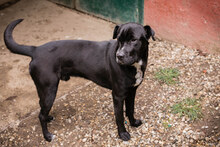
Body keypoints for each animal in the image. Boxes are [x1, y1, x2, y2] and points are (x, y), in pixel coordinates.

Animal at [3, 19, 155, 142]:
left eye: (133, 40)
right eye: (119, 40)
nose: (119, 56)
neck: (135, 65)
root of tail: (36, 50)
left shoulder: (132, 91)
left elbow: (130, 109)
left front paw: (134, 123)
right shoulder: (118, 95)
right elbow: (119, 117)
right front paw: (123, 134)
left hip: (43, 89)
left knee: (42, 107)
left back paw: (48, 118)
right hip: (50, 90)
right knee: (40, 115)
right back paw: (47, 136)